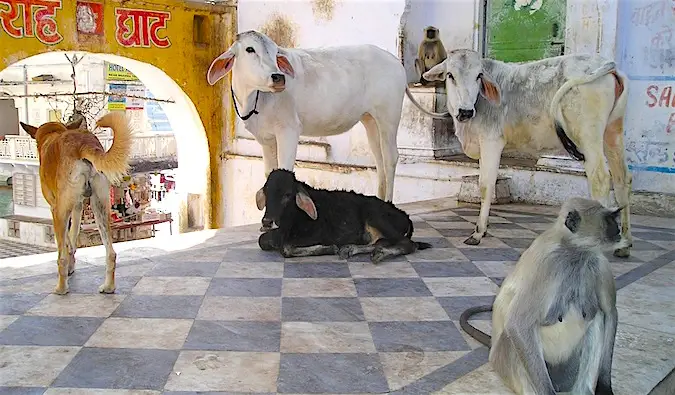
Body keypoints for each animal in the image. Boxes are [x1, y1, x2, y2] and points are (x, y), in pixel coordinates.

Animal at [20, 113, 134, 296]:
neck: (52, 135)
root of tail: (83, 143)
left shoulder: (56, 208)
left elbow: (66, 242)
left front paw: (68, 266)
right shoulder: (78, 207)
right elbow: (72, 239)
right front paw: (72, 264)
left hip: (61, 211)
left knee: (61, 257)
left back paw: (61, 288)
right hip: (100, 207)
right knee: (111, 253)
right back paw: (108, 286)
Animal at [206, 30, 406, 226]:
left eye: (275, 52)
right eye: (250, 49)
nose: (278, 77)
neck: (254, 99)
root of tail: (395, 62)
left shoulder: (289, 130)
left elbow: (285, 168)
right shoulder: (266, 139)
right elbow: (270, 172)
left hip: (388, 116)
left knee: (390, 158)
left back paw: (388, 202)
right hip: (370, 119)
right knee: (379, 159)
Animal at [254, 169, 434, 264]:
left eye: (287, 194)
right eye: (266, 191)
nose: (267, 221)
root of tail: (404, 215)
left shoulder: (318, 235)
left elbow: (286, 248)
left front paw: (329, 248)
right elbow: (262, 241)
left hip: (376, 217)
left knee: (408, 244)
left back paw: (379, 254)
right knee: (380, 242)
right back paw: (350, 249)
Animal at [422, 49, 632, 258]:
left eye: (478, 76)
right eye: (450, 75)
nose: (465, 111)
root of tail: (606, 64)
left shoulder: (491, 142)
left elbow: (485, 185)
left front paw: (478, 232)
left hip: (588, 138)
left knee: (601, 180)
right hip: (613, 133)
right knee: (622, 178)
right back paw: (625, 244)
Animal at [460, 198, 628, 395]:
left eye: (614, 220)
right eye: (609, 220)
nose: (618, 229)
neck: (574, 252)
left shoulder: (600, 263)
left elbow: (610, 313)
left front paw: (604, 386)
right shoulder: (547, 265)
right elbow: (518, 324)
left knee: (598, 318)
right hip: (506, 361)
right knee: (511, 338)